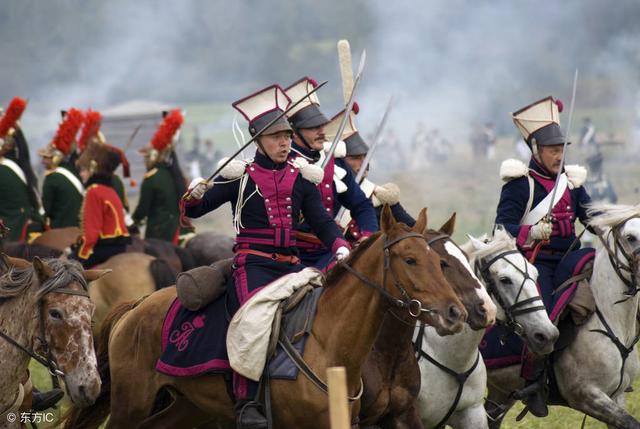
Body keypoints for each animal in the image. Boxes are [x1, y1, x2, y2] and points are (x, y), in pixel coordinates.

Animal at [62, 204, 468, 428]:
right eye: (411, 260)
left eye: (439, 262)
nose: (457, 312)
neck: (328, 344)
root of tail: (136, 307)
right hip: (131, 403)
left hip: (189, 406)